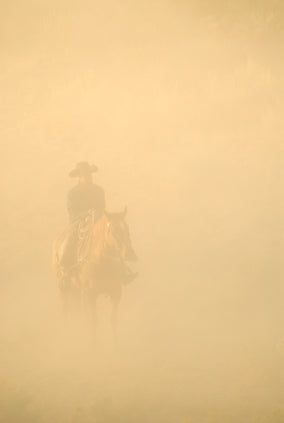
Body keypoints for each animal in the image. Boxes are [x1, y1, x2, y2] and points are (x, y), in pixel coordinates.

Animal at [53, 209, 139, 342]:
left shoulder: (115, 293)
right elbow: (93, 321)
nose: (129, 253)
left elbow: (113, 320)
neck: (101, 262)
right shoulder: (90, 295)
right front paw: (93, 344)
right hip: (63, 289)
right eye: (113, 230)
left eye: (127, 228)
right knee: (65, 311)